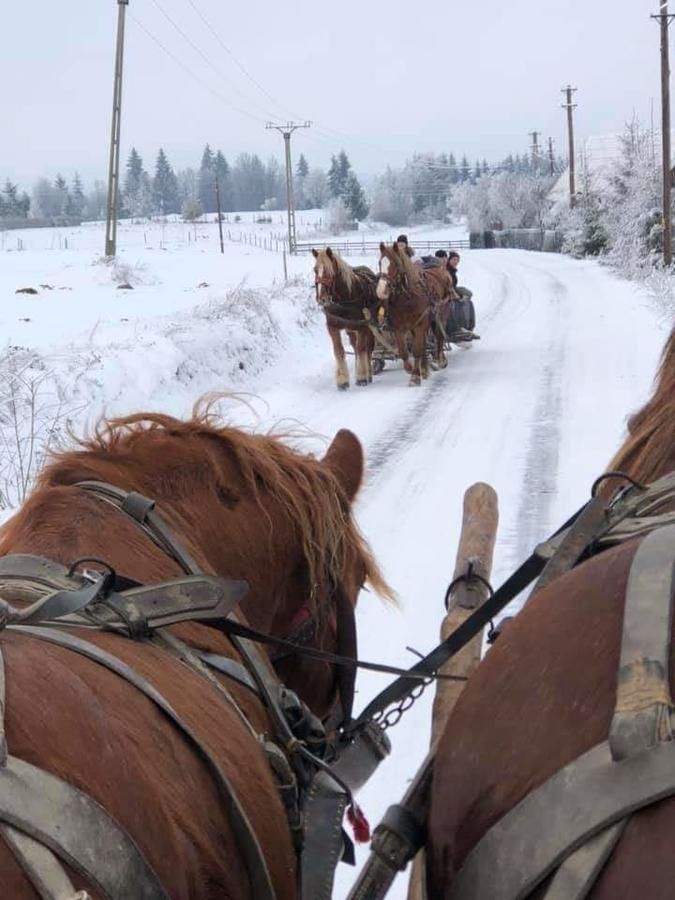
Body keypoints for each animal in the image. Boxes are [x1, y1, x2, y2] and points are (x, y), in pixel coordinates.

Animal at [312, 246, 378, 390]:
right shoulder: (333, 327)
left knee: (368, 348)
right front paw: (342, 380)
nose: (322, 299)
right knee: (354, 345)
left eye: (329, 271)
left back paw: (369, 373)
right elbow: (339, 351)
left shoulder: (362, 326)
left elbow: (361, 349)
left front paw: (362, 376)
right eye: (315, 270)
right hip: (350, 329)